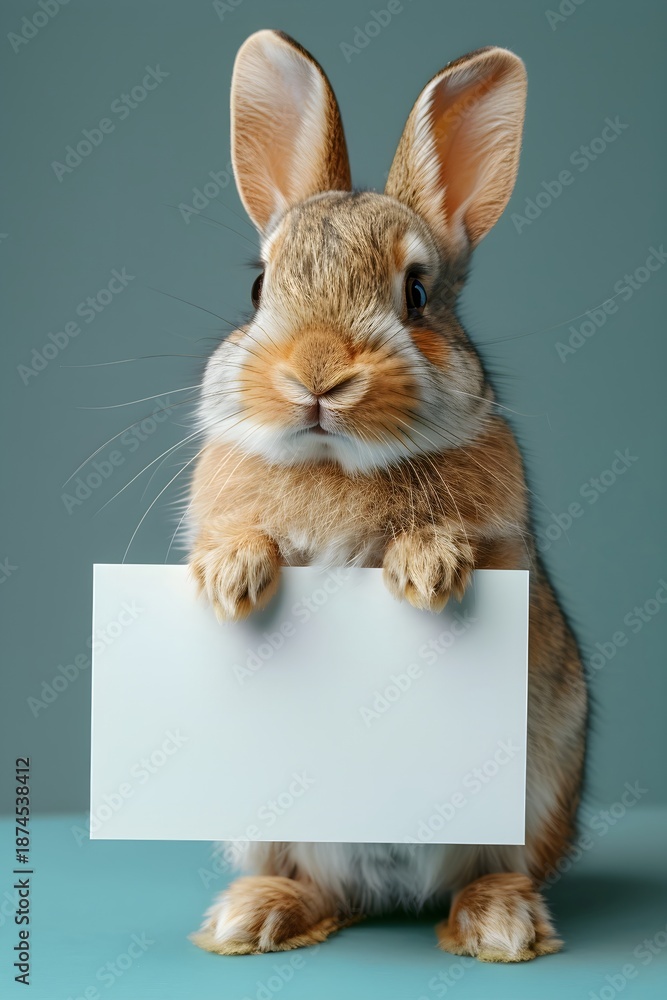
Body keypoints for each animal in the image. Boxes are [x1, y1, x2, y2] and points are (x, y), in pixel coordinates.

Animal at [188, 30, 587, 962]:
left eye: (416, 295)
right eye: (258, 288)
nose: (317, 374)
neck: (338, 462)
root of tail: (394, 890)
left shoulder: (509, 547)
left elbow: (464, 548)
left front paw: (426, 569)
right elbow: (232, 538)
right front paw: (232, 576)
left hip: (535, 793)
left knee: (495, 870)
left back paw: (498, 927)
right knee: (318, 887)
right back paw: (252, 917)